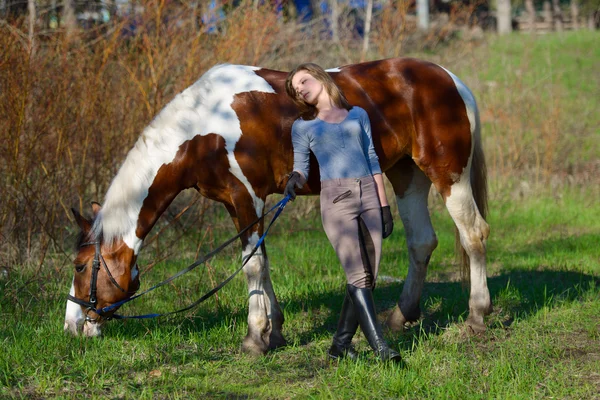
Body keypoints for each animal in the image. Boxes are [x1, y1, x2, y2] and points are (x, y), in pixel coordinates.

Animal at [64, 57, 492, 354]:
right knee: (421, 242)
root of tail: (451, 80)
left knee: (473, 235)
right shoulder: (243, 203)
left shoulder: (246, 197)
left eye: (81, 266)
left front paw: (255, 337)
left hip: (448, 176)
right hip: (407, 177)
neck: (202, 129)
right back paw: (402, 316)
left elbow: (252, 264)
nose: (72, 325)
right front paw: (276, 331)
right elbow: (261, 260)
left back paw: (477, 316)